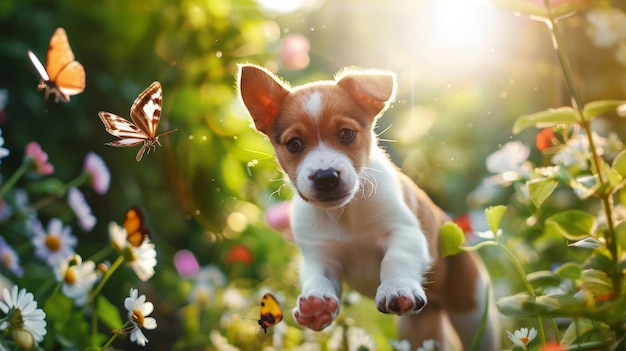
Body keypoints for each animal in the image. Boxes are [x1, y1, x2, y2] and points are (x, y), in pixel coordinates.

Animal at [236, 64, 500, 350]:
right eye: (294, 143)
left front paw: (396, 288)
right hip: (417, 332)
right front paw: (316, 305)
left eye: (346, 133)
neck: (346, 214)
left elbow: (395, 259)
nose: (325, 177)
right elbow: (316, 277)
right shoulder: (321, 256)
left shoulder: (405, 232)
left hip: (474, 311)